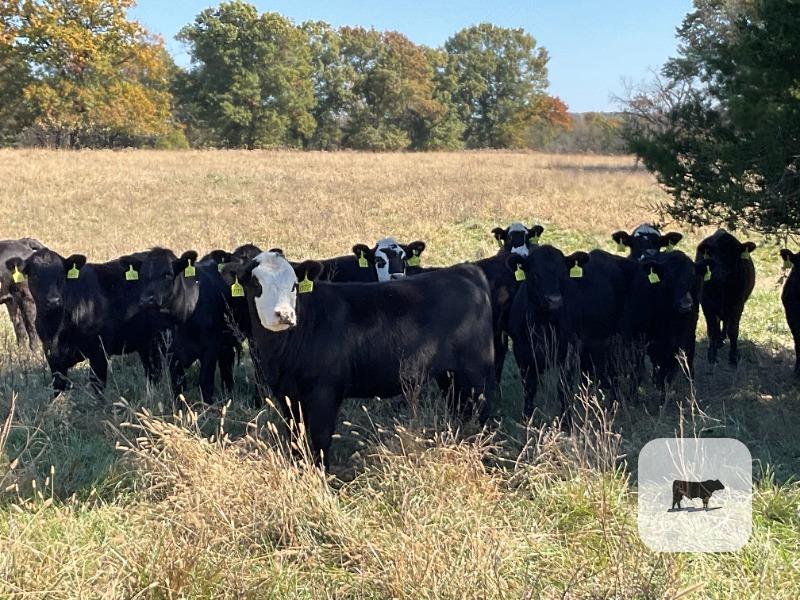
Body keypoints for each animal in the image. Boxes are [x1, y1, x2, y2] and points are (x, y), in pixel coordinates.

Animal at [228, 251, 496, 467]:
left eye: (294, 285)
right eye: (256, 284)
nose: (284, 315)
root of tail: (464, 270)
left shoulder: (324, 393)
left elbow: (320, 440)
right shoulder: (288, 396)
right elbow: (296, 438)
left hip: (475, 374)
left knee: (480, 414)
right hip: (448, 376)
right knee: (459, 408)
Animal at [507, 246, 628, 419]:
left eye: (564, 273)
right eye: (535, 274)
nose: (554, 300)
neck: (543, 323)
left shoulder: (568, 352)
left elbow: (563, 388)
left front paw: (566, 421)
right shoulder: (522, 353)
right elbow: (529, 389)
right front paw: (526, 419)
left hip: (613, 340)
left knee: (613, 372)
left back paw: (614, 406)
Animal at [695, 230, 756, 364]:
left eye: (734, 256)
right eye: (714, 256)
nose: (722, 274)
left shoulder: (737, 305)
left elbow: (733, 331)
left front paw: (733, 357)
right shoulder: (707, 305)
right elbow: (712, 330)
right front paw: (712, 355)